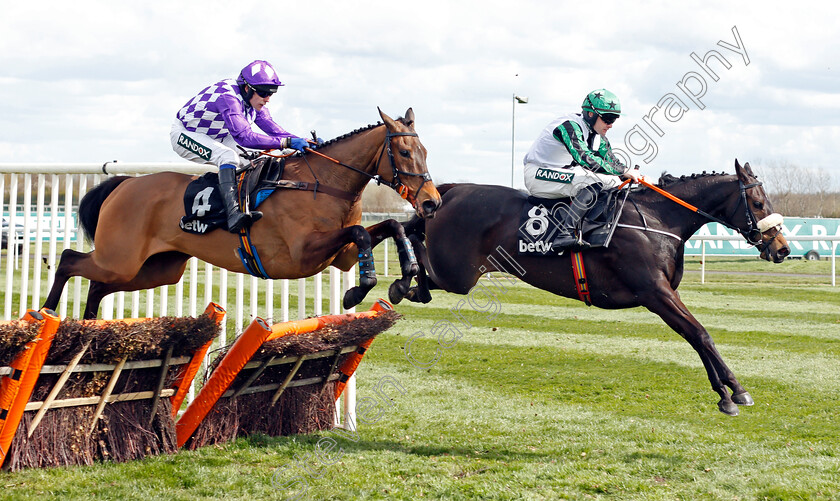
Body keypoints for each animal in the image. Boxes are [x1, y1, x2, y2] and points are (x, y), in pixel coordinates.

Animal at [41, 108, 440, 318]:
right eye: (405, 153)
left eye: (425, 151)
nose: (431, 202)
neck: (322, 182)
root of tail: (123, 185)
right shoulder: (302, 254)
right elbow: (362, 233)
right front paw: (360, 289)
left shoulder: (338, 256)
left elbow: (391, 226)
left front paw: (406, 279)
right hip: (119, 258)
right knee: (67, 259)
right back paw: (46, 312)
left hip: (156, 268)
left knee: (97, 285)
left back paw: (88, 325)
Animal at [394, 159, 788, 414]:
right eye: (757, 202)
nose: (782, 248)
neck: (657, 219)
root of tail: (452, 190)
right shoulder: (654, 293)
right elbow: (700, 333)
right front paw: (734, 391)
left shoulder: (667, 293)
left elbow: (696, 334)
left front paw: (727, 391)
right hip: (457, 273)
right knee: (413, 241)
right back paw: (403, 277)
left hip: (456, 273)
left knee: (417, 253)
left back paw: (406, 283)